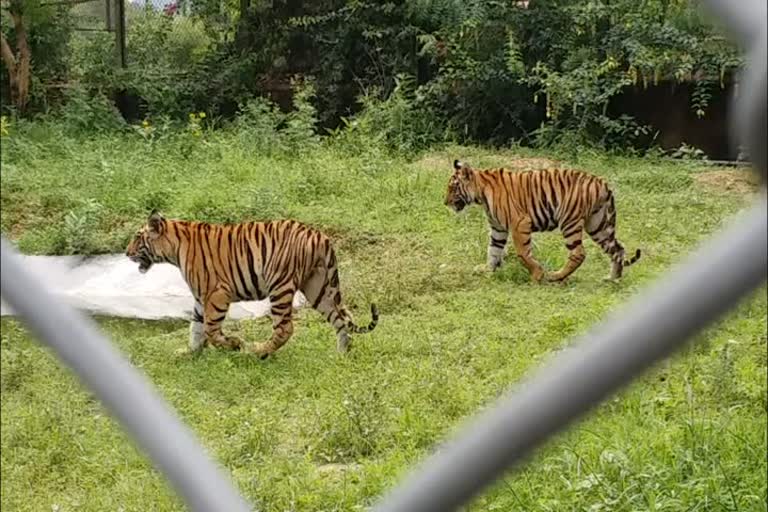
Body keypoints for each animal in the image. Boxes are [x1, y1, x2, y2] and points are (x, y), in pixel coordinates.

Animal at [125, 210, 378, 358]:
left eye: (137, 237)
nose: (127, 253)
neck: (174, 248)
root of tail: (320, 235)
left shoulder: (216, 293)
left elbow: (210, 329)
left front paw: (234, 344)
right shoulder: (200, 297)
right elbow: (195, 327)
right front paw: (189, 352)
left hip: (280, 285)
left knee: (285, 328)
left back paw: (257, 351)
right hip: (318, 287)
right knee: (340, 319)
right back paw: (343, 353)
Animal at [444, 160, 640, 282]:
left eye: (453, 187)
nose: (445, 202)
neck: (481, 193)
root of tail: (602, 183)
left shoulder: (519, 223)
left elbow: (523, 253)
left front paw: (537, 275)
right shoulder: (498, 228)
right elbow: (493, 250)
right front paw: (487, 269)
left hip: (569, 221)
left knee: (578, 253)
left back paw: (556, 276)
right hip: (598, 225)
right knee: (618, 249)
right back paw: (613, 279)